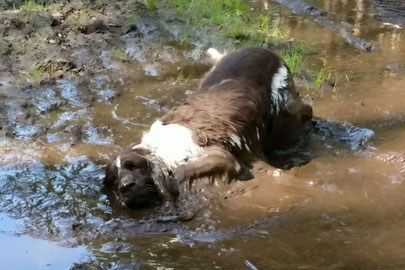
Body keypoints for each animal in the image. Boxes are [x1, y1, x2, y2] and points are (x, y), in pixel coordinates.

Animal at [105, 47, 312, 209]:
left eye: (133, 166)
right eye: (114, 178)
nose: (125, 186)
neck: (162, 150)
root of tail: (266, 51)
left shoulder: (222, 156)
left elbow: (181, 173)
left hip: (284, 116)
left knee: (305, 112)